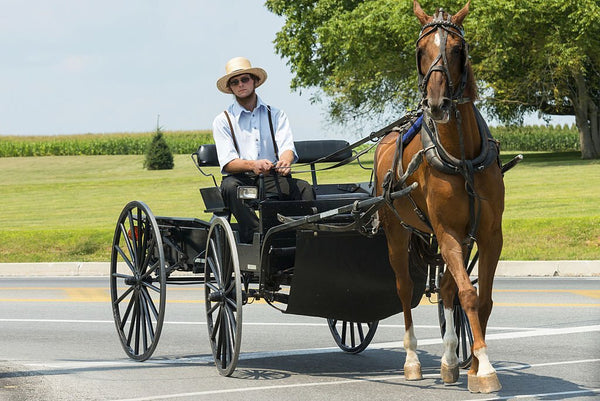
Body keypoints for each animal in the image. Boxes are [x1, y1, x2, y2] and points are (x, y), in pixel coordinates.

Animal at [378, 0, 504, 392]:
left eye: (458, 49)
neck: (461, 154)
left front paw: (473, 365)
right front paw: (486, 368)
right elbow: (468, 295)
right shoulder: (447, 231)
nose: (436, 104)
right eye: (421, 50)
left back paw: (449, 361)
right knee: (404, 288)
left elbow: (481, 298)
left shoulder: (488, 234)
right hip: (396, 231)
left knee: (447, 286)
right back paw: (412, 360)